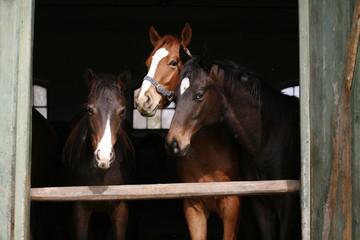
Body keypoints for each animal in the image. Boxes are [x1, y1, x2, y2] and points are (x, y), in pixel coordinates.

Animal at [135, 24, 242, 240]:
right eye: (148, 62)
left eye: (173, 62)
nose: (143, 99)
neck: (207, 156)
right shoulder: (193, 207)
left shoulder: (232, 204)